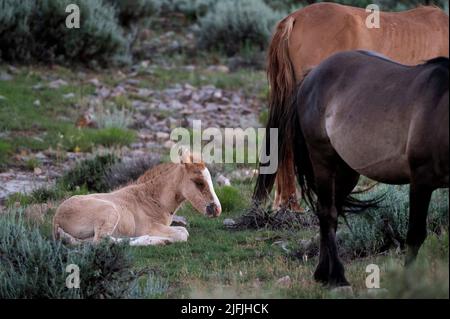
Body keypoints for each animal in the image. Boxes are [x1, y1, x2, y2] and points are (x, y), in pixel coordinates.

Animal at [52, 152, 221, 248]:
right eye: (199, 182)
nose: (217, 209)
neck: (152, 199)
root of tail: (56, 219)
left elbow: (182, 230)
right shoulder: (151, 227)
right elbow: (183, 234)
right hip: (109, 212)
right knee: (101, 241)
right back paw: (157, 240)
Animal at [255, 52, 448, 288]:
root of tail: (312, 75)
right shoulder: (421, 180)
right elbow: (415, 234)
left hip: (346, 171)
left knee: (330, 212)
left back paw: (322, 274)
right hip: (323, 159)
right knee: (327, 212)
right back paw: (337, 276)